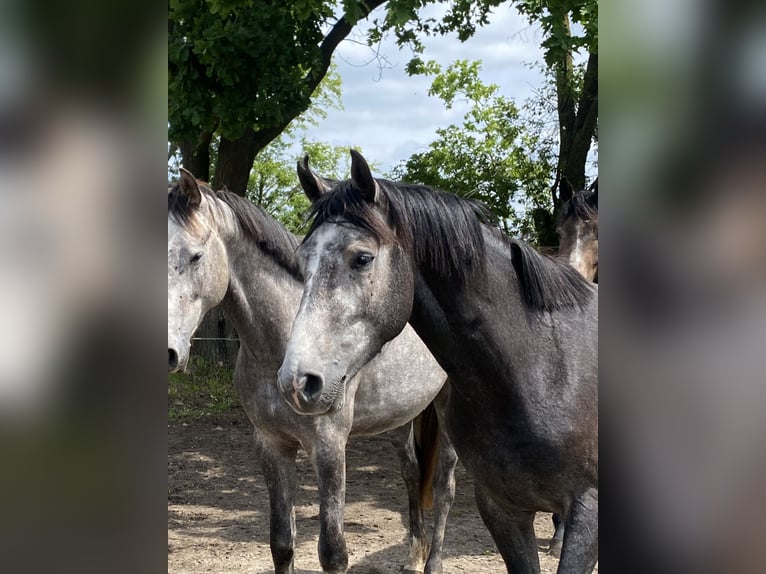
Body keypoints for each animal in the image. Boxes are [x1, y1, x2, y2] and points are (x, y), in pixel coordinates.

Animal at [167, 167, 458, 574]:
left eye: (195, 256)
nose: (166, 350)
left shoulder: (329, 447)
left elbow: (333, 553)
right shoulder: (271, 444)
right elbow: (281, 544)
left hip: (447, 412)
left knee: (445, 487)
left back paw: (432, 562)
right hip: (403, 416)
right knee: (413, 475)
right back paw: (414, 557)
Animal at [278, 150, 598, 574]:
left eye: (362, 258)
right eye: (302, 261)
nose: (297, 382)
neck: (544, 366)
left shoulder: (588, 513)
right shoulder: (503, 510)